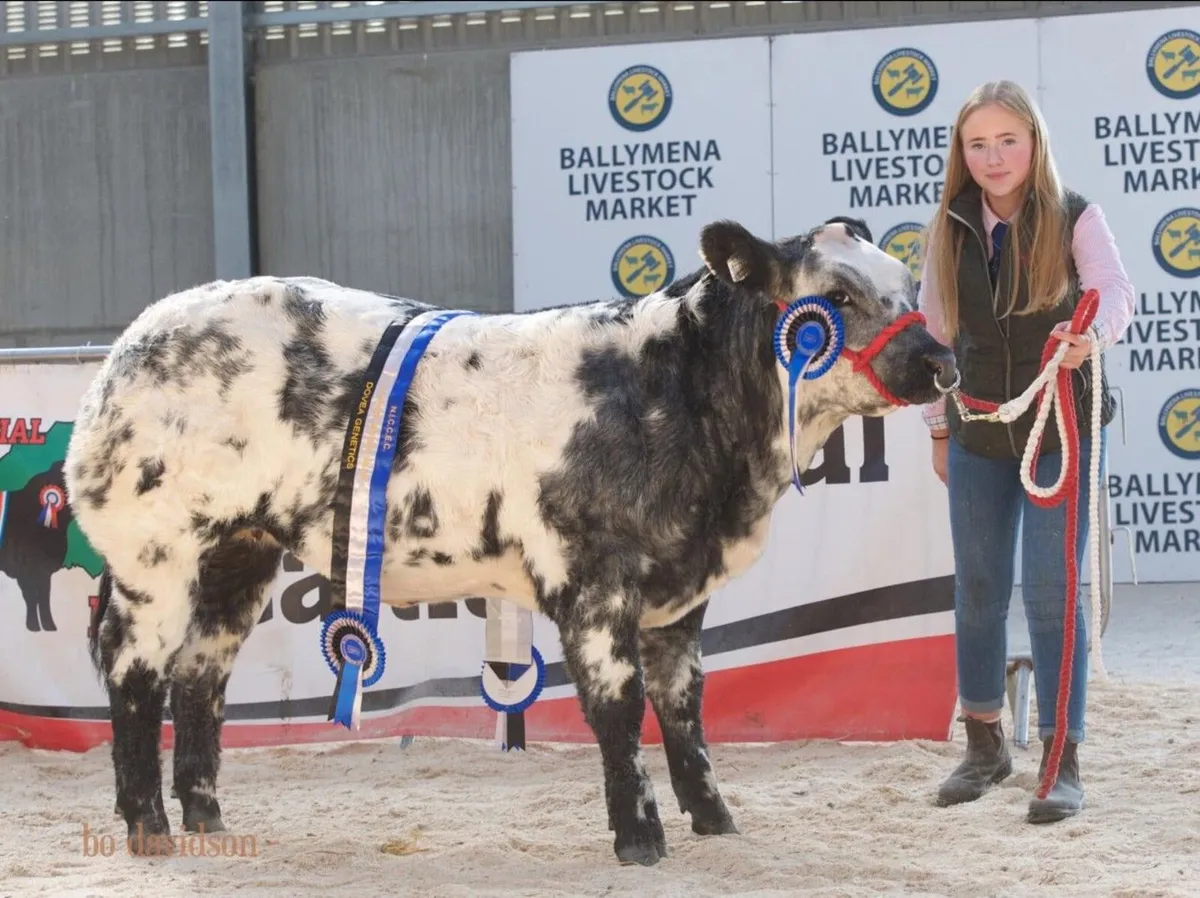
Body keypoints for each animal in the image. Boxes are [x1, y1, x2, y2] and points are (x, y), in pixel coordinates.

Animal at [63, 216, 957, 866]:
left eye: (905, 283)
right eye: (835, 297)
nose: (942, 361)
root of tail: (134, 341)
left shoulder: (678, 589)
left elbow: (683, 708)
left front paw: (715, 819)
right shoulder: (595, 578)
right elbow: (619, 706)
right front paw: (640, 838)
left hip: (237, 551)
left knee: (200, 678)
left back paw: (207, 820)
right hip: (155, 553)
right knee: (135, 670)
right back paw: (149, 828)